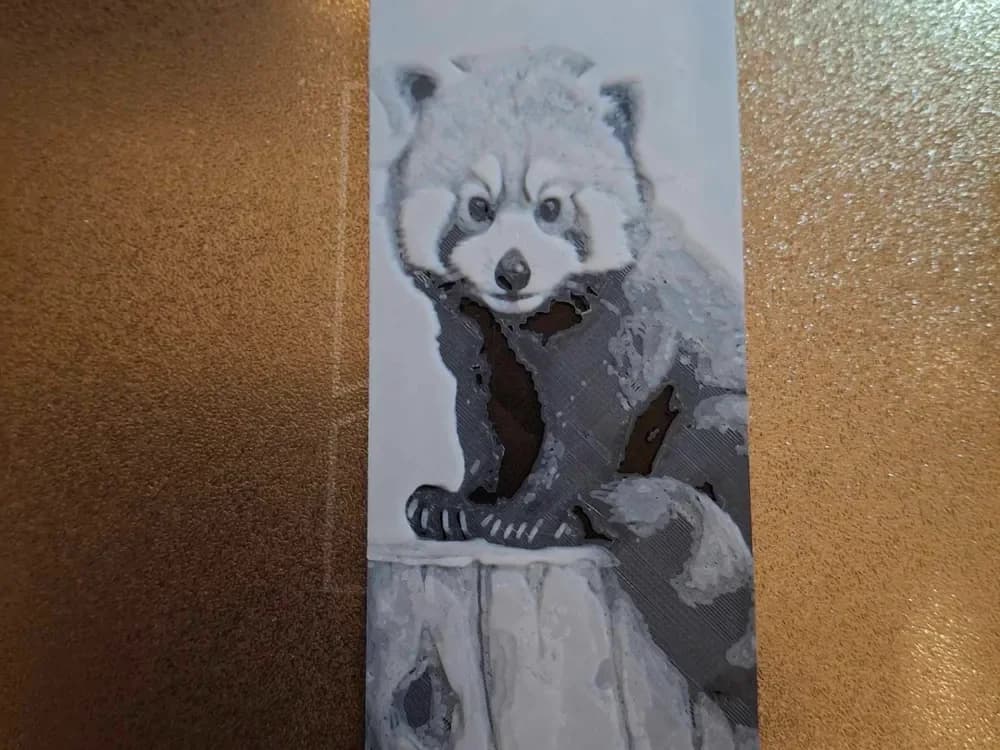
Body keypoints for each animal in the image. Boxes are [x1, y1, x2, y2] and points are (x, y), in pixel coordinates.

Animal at [374, 46, 751, 554]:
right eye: (478, 206)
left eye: (550, 208)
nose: (513, 271)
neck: (528, 316)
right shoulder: (474, 331)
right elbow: (485, 413)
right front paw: (459, 501)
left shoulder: (627, 320)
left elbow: (589, 419)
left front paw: (528, 519)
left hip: (721, 415)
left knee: (708, 427)